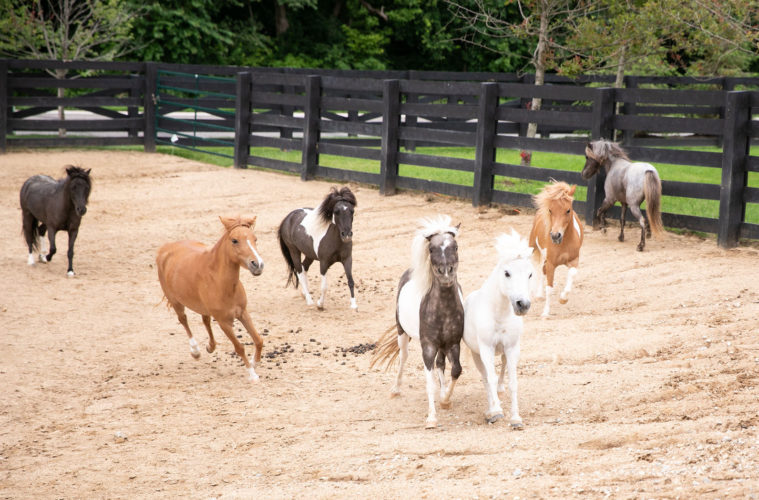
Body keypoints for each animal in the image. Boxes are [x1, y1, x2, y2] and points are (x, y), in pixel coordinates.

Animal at [156, 216, 265, 382]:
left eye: (255, 239)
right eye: (234, 240)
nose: (257, 265)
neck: (220, 281)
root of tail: (166, 248)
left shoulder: (242, 313)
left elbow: (258, 340)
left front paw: (255, 362)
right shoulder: (223, 321)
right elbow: (239, 347)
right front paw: (252, 375)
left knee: (205, 320)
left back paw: (210, 346)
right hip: (175, 301)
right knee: (183, 319)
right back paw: (195, 350)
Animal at [371, 215, 464, 429]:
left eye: (455, 246)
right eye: (431, 249)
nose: (445, 273)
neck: (443, 309)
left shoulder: (453, 343)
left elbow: (456, 370)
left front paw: (445, 400)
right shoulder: (428, 347)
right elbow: (429, 381)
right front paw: (432, 418)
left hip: (441, 345)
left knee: (441, 364)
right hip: (402, 333)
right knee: (403, 357)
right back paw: (395, 389)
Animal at [463, 230, 533, 428]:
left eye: (530, 274)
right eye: (507, 273)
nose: (523, 304)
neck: (499, 315)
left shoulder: (511, 348)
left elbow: (513, 382)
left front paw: (516, 418)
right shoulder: (486, 349)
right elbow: (490, 379)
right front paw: (495, 411)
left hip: (503, 351)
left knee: (501, 369)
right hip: (477, 354)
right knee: (486, 378)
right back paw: (491, 409)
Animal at [528, 181, 584, 317]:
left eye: (568, 210)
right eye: (550, 210)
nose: (555, 236)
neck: (563, 243)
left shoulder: (574, 260)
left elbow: (572, 274)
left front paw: (563, 299)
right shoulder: (551, 264)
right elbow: (549, 288)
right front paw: (545, 313)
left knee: (542, 270)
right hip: (533, 248)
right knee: (537, 269)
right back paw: (537, 295)